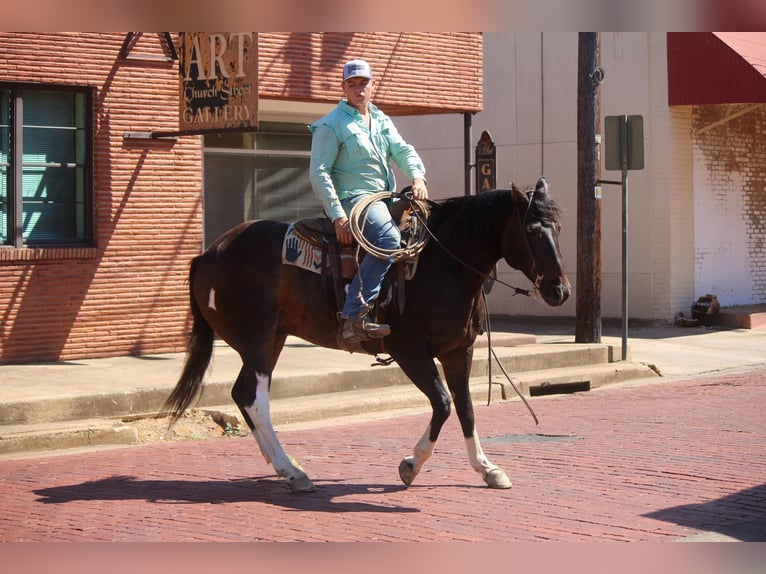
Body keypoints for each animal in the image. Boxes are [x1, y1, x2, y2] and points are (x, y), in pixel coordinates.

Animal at [162, 178, 568, 492]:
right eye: (532, 231)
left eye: (559, 229)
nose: (559, 290)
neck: (443, 264)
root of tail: (210, 253)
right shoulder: (409, 350)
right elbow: (442, 404)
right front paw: (411, 465)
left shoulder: (458, 351)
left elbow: (465, 408)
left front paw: (487, 468)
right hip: (257, 339)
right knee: (256, 399)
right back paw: (292, 471)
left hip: (272, 339)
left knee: (242, 394)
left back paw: (281, 464)